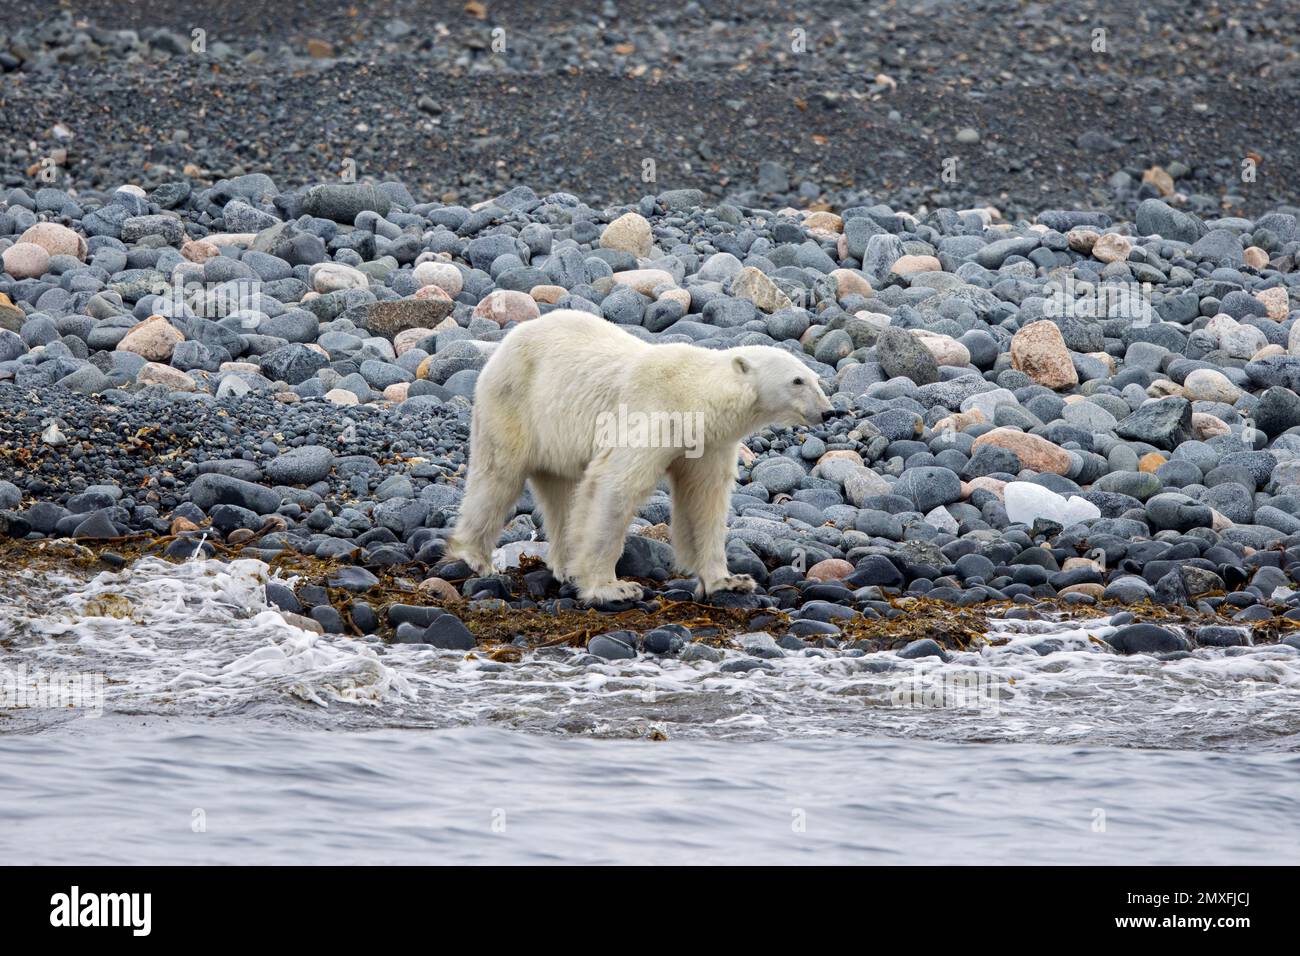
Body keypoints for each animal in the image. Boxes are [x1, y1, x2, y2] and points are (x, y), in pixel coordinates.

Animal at [447, 310, 832, 600]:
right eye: (797, 380)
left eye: (817, 379)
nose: (829, 411)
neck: (694, 395)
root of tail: (504, 344)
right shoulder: (653, 415)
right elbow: (616, 485)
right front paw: (611, 587)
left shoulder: (708, 443)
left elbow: (704, 500)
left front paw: (728, 580)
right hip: (513, 402)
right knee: (497, 477)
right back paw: (475, 557)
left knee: (562, 493)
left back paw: (564, 565)